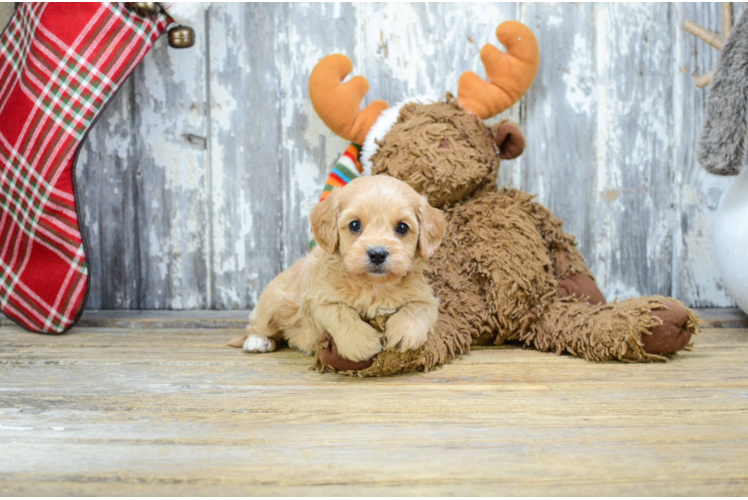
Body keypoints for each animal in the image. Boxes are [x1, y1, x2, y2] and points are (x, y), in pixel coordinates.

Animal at [243, 174, 448, 362]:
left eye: (402, 227)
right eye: (355, 225)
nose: (378, 253)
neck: (374, 286)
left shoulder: (427, 297)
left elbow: (418, 308)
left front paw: (405, 332)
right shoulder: (318, 299)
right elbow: (340, 312)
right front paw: (360, 342)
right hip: (272, 303)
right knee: (258, 325)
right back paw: (258, 341)